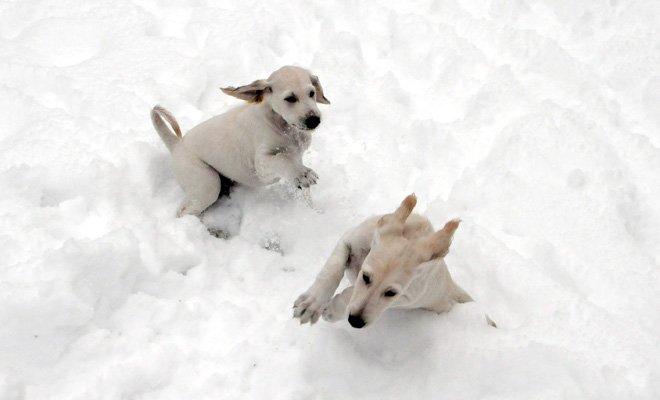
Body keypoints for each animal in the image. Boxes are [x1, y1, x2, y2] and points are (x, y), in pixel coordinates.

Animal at [153, 65, 332, 219]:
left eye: (312, 93)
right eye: (290, 98)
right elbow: (282, 159)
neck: (283, 127)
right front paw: (302, 173)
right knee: (183, 212)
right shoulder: (261, 165)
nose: (314, 120)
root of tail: (176, 145)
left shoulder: (297, 156)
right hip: (206, 183)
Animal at [294, 194, 496, 328]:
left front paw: (334, 309)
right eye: (365, 277)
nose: (355, 322)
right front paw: (310, 304)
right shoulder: (349, 239)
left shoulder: (408, 297)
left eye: (391, 292)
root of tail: (453, 289)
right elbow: (332, 270)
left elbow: (351, 293)